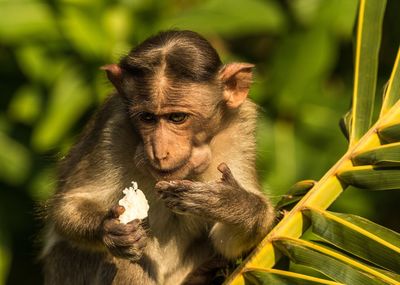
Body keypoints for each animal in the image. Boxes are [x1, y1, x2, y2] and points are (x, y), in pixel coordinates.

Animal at [40, 30, 276, 282]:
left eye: (177, 118)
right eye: (147, 118)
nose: (159, 151)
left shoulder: (240, 128)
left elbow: (229, 244)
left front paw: (229, 202)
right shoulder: (113, 125)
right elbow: (69, 206)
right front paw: (110, 230)